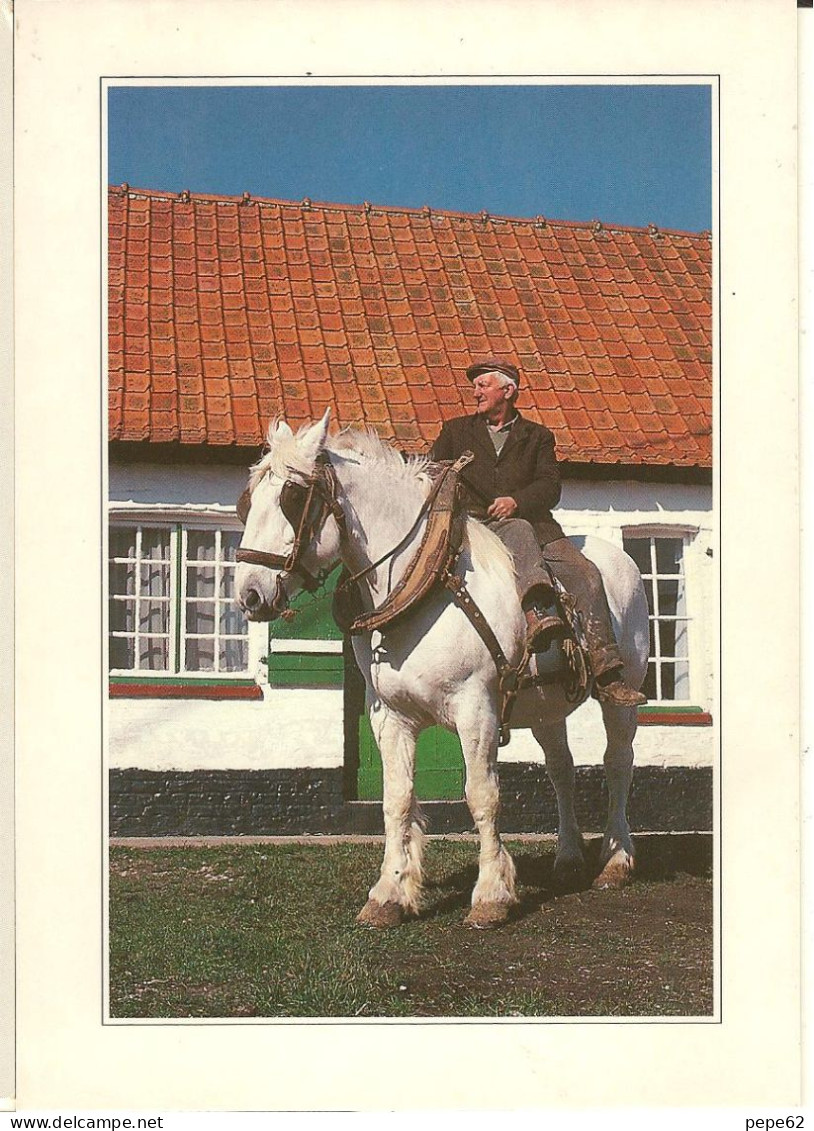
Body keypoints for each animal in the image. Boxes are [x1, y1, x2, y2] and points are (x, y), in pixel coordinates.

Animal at [234, 411, 646, 931]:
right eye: (248, 502)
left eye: (291, 498)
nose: (248, 594)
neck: (422, 581)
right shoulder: (390, 717)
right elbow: (397, 800)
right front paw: (389, 893)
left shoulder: (477, 711)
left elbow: (482, 794)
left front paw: (490, 894)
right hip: (546, 706)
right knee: (561, 770)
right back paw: (569, 857)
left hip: (625, 690)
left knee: (617, 763)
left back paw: (617, 858)